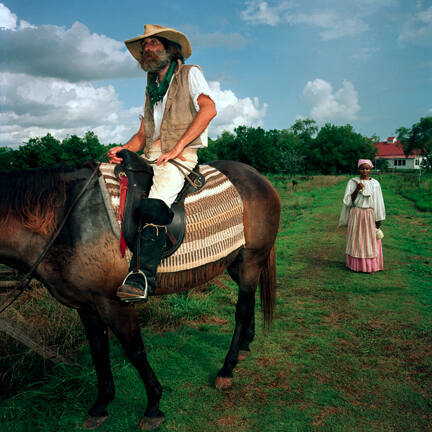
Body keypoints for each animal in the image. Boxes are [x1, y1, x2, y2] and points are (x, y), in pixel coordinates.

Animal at [0, 160, 280, 430]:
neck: (67, 220)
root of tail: (258, 177)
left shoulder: (115, 302)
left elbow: (134, 351)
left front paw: (153, 407)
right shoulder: (87, 306)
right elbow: (98, 351)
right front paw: (101, 405)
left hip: (251, 259)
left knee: (242, 310)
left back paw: (227, 370)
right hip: (236, 261)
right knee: (249, 301)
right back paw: (244, 346)